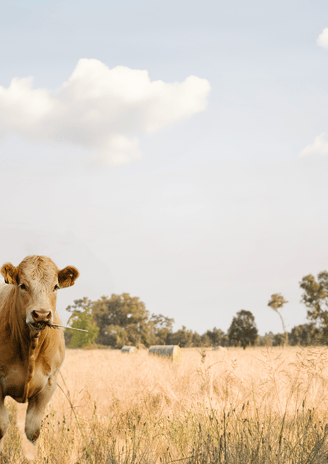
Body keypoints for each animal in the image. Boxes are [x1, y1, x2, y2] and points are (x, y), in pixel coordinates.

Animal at [0, 254, 79, 454]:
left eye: (55, 286)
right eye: (23, 285)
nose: (41, 314)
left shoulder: (48, 384)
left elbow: (32, 430)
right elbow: (1, 426)